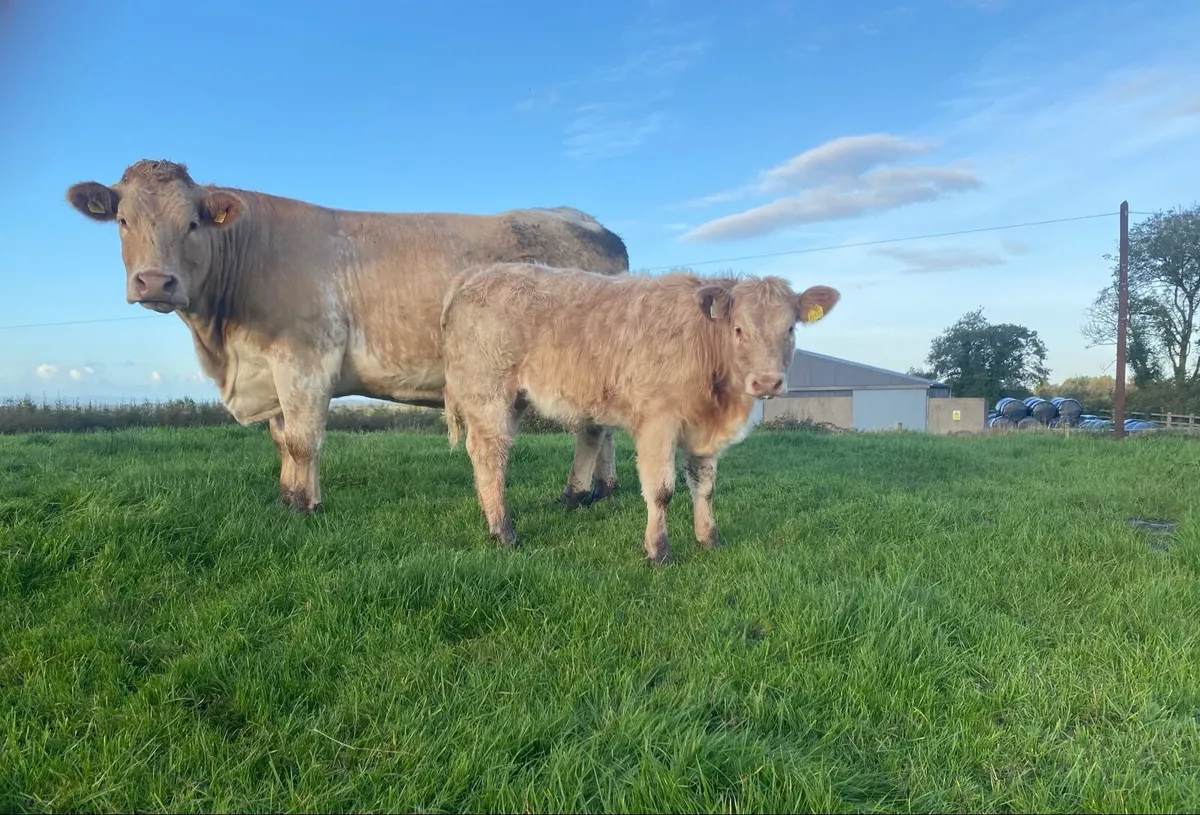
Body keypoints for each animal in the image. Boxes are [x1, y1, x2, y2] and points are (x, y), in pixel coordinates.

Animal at [65, 159, 629, 513]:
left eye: (193, 223)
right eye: (122, 220)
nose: (155, 281)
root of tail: (590, 222)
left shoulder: (305, 358)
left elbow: (302, 440)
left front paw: (304, 505)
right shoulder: (270, 369)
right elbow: (281, 439)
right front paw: (286, 498)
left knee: (590, 431)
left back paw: (576, 494)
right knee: (602, 432)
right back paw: (602, 489)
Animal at [440, 262, 841, 564]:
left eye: (790, 329)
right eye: (739, 329)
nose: (767, 382)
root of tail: (477, 273)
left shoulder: (703, 434)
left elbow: (705, 487)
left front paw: (708, 539)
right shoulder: (658, 422)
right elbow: (661, 490)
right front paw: (659, 551)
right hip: (489, 393)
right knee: (490, 454)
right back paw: (503, 530)